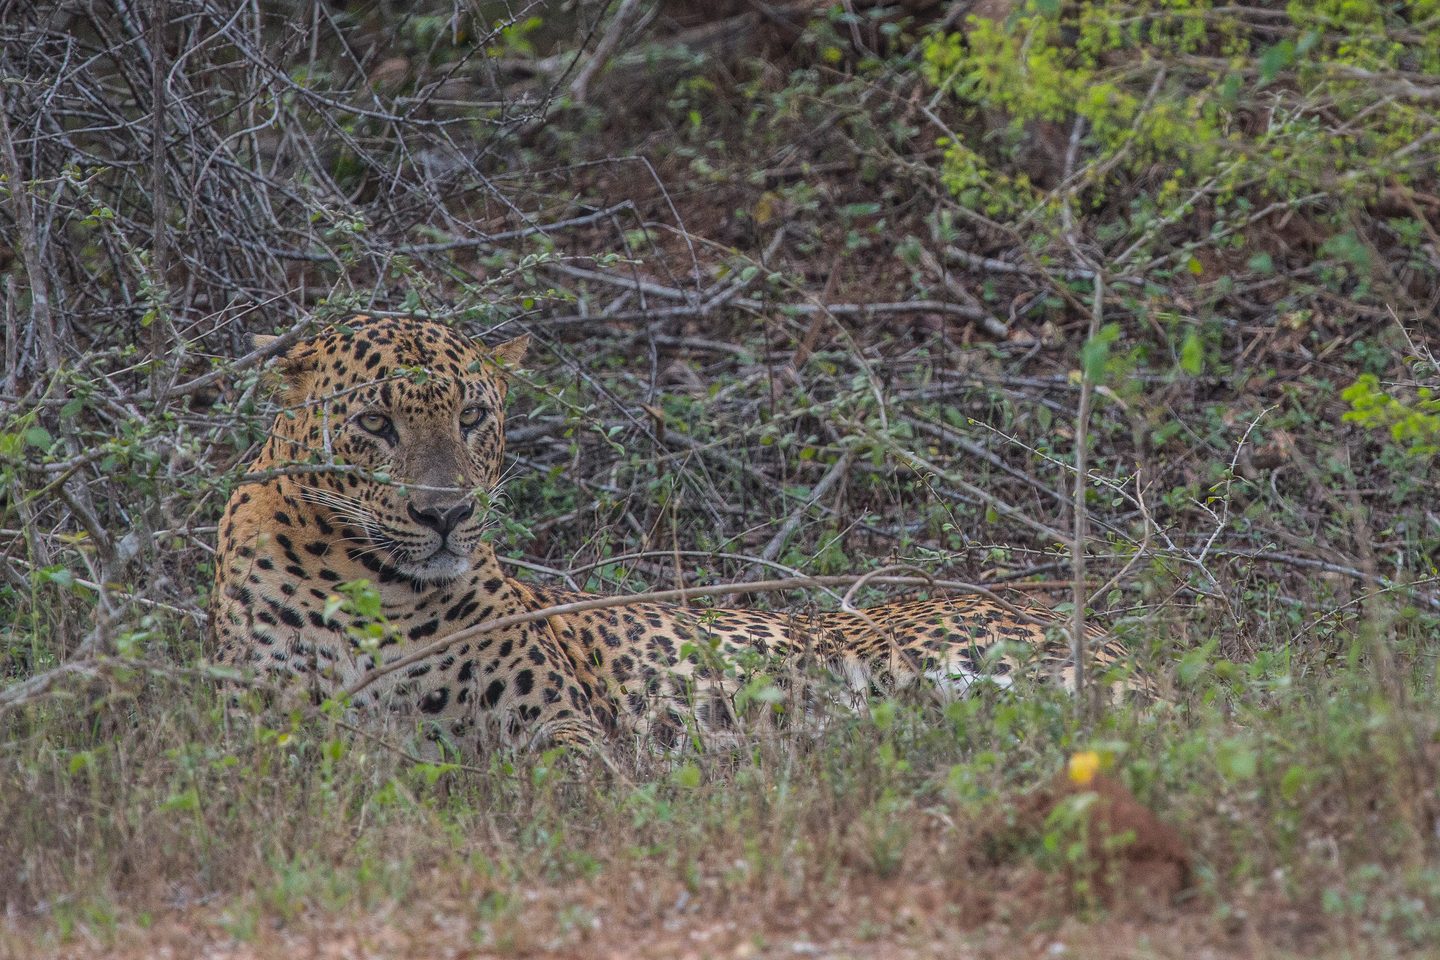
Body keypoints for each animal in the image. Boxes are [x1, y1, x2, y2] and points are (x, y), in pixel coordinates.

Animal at [209, 315, 1144, 751]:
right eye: (375, 423)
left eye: (473, 417)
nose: (447, 515)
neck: (377, 590)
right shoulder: (264, 734)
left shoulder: (561, 727)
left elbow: (569, 792)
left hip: (960, 666)